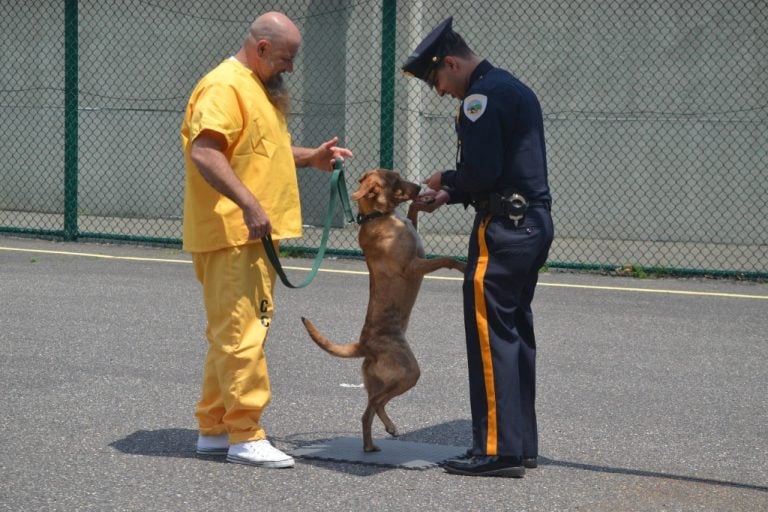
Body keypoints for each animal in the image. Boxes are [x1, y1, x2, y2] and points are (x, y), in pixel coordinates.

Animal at [304, 169, 464, 452]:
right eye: (396, 179)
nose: (420, 186)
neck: (379, 217)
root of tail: (363, 345)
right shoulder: (413, 266)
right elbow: (446, 259)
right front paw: (464, 266)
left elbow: (413, 211)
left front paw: (422, 202)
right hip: (409, 372)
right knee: (372, 406)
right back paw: (375, 440)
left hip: (379, 380)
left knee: (372, 406)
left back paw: (379, 436)